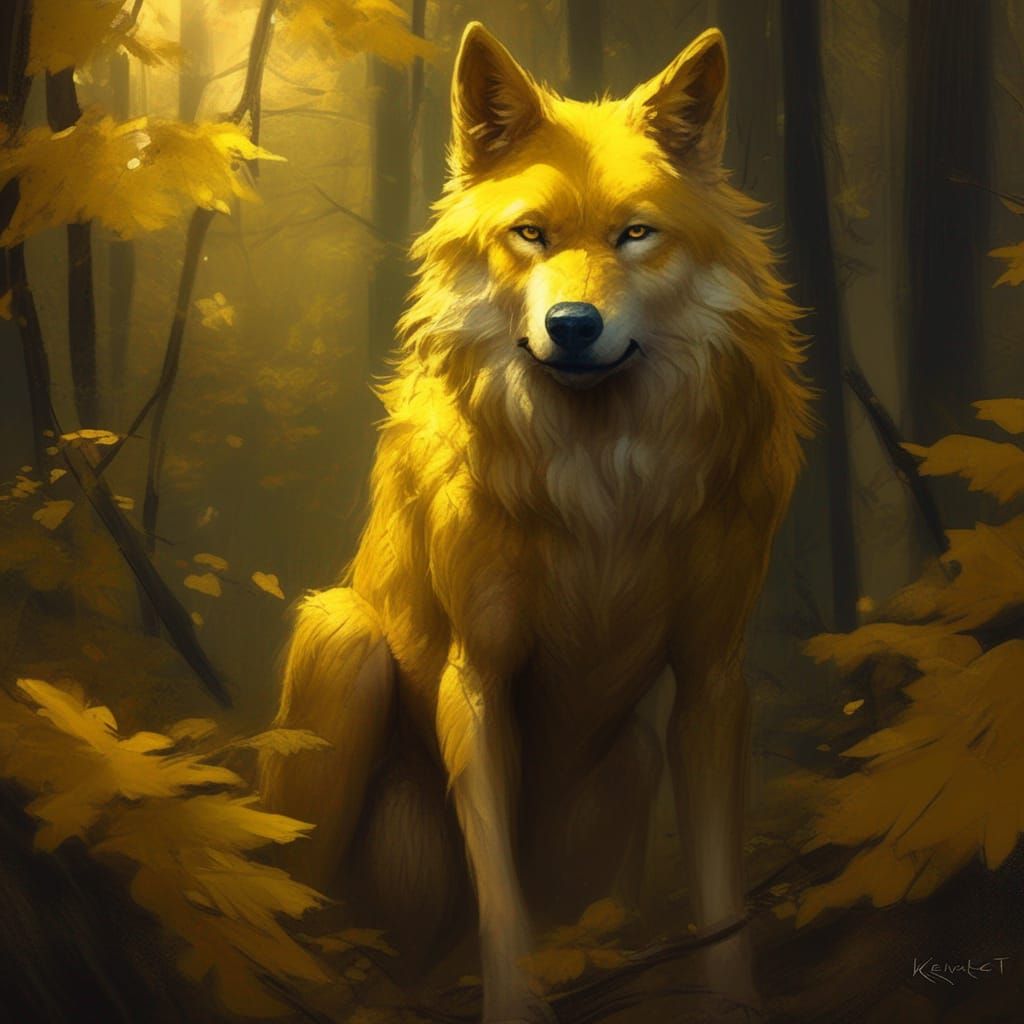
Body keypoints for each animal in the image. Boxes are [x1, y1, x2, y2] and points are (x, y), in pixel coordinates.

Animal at [261, 21, 811, 1023]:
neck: (602, 472)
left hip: (631, 758)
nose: (574, 324)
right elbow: (501, 895)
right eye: (530, 234)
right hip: (342, 646)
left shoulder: (713, 677)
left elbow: (721, 893)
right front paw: (516, 1001)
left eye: (636, 233)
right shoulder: (476, 675)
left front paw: (733, 998)